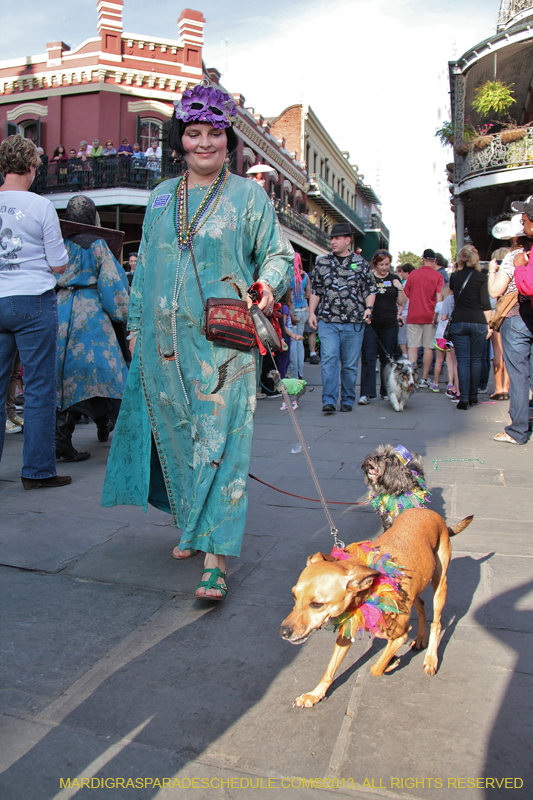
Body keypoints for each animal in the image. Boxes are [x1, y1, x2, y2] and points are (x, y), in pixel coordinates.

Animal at [276, 510, 472, 708]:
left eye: (317, 604)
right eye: (293, 595)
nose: (283, 632)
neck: (367, 591)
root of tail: (428, 511)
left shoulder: (400, 636)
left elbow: (375, 669)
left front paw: (391, 663)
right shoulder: (347, 631)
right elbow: (330, 669)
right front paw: (314, 694)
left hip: (440, 583)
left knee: (437, 623)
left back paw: (431, 659)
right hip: (416, 585)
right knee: (422, 606)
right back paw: (421, 638)